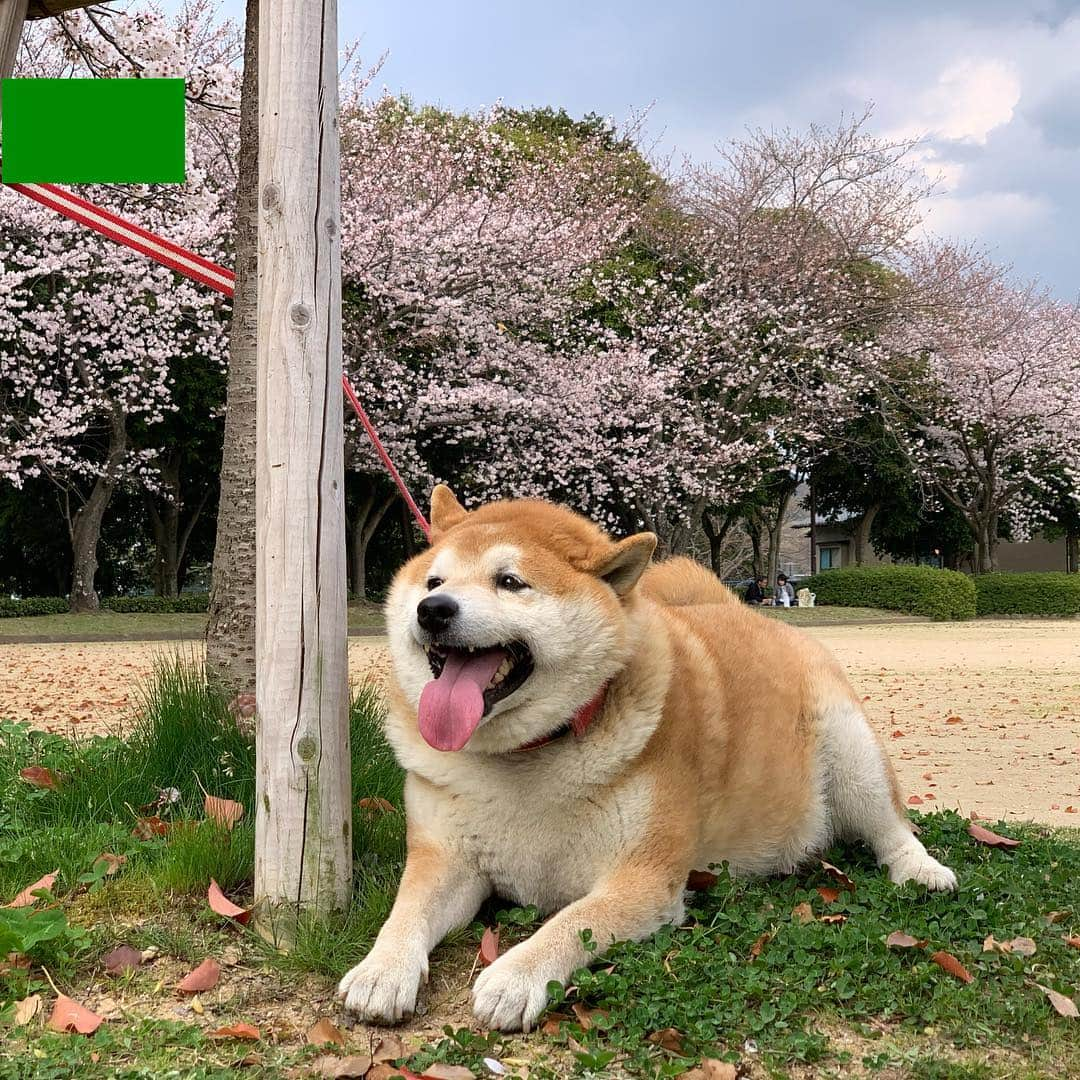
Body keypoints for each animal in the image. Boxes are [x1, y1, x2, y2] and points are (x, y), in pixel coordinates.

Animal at [336, 488, 954, 1028]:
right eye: (433, 581)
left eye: (510, 582)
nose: (432, 609)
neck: (527, 753)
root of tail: (746, 610)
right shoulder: (445, 859)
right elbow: (406, 911)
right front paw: (381, 970)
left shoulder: (643, 877)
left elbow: (573, 921)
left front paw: (515, 976)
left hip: (853, 756)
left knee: (892, 827)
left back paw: (920, 870)